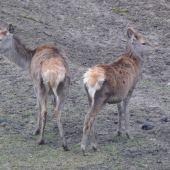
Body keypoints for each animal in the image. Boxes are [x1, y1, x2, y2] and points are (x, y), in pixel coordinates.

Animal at [81, 24, 157, 155]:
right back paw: (84, 149)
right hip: (101, 97)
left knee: (91, 118)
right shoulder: (130, 90)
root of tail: (89, 79)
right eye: (144, 42)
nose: (156, 49)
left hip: (90, 98)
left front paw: (119, 131)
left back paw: (94, 145)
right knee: (88, 118)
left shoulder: (120, 94)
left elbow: (119, 110)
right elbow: (126, 111)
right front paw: (129, 134)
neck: (136, 65)